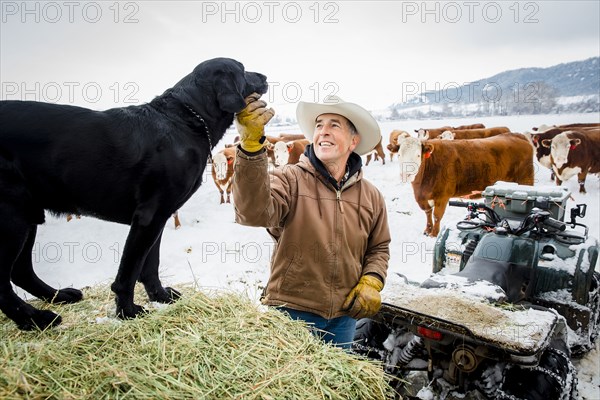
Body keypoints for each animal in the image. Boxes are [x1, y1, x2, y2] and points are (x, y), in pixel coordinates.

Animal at [0, 57, 268, 330]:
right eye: (242, 69)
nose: (265, 76)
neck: (185, 119)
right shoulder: (148, 216)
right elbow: (128, 272)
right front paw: (127, 312)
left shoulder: (159, 217)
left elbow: (150, 266)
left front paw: (161, 297)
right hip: (12, 218)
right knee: (3, 283)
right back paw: (35, 318)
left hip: (28, 214)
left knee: (20, 271)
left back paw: (58, 296)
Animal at [400, 133, 532, 236]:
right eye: (400, 155)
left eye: (418, 155)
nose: (406, 174)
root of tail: (516, 135)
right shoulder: (422, 198)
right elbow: (428, 213)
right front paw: (427, 230)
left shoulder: (442, 196)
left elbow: (437, 216)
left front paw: (434, 234)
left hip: (525, 181)